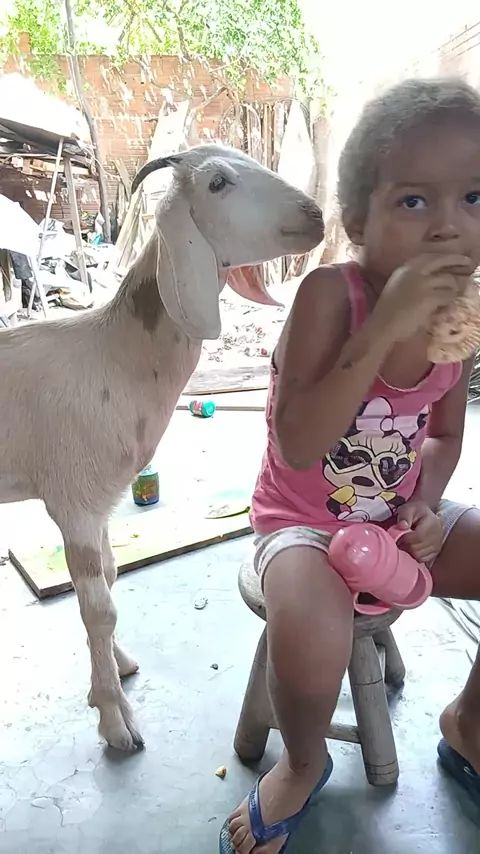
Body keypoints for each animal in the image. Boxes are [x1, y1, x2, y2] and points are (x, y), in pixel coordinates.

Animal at [0, 145, 324, 751]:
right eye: (217, 183)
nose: (315, 215)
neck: (111, 356)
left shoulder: (101, 501)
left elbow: (109, 578)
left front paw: (115, 668)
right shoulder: (73, 503)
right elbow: (98, 609)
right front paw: (115, 719)